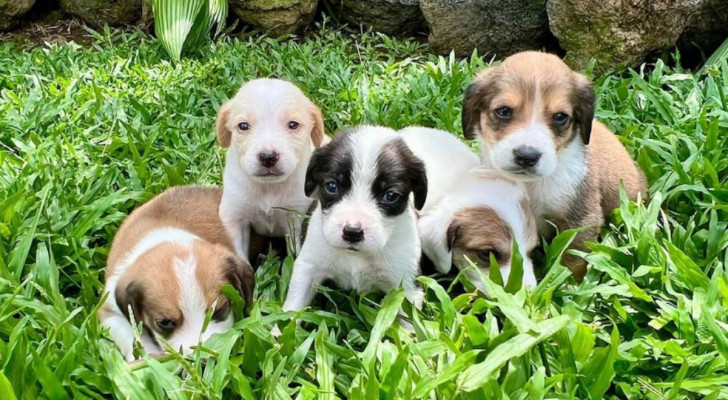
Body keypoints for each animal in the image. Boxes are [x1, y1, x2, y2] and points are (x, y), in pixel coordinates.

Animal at [216, 79, 328, 264]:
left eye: (293, 125)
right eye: (243, 126)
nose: (268, 156)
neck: (268, 188)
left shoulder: (294, 218)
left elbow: (294, 252)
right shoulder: (234, 216)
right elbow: (240, 255)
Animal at [278, 125, 426, 312]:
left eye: (391, 195)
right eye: (332, 186)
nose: (353, 232)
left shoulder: (406, 286)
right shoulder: (308, 267)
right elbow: (292, 308)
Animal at [464, 50, 644, 282]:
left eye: (560, 117)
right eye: (503, 111)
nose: (527, 156)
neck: (529, 185)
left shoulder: (580, 220)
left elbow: (571, 262)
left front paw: (568, 285)